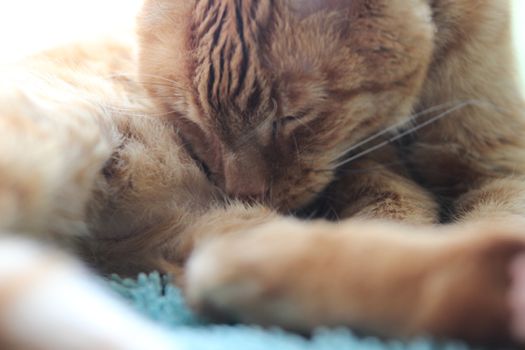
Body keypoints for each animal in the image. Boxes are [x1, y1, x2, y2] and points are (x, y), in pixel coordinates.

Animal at [3, 0, 524, 348]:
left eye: (294, 117)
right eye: (190, 117)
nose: (245, 191)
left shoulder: (498, 168)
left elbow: (492, 217)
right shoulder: (367, 170)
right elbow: (394, 212)